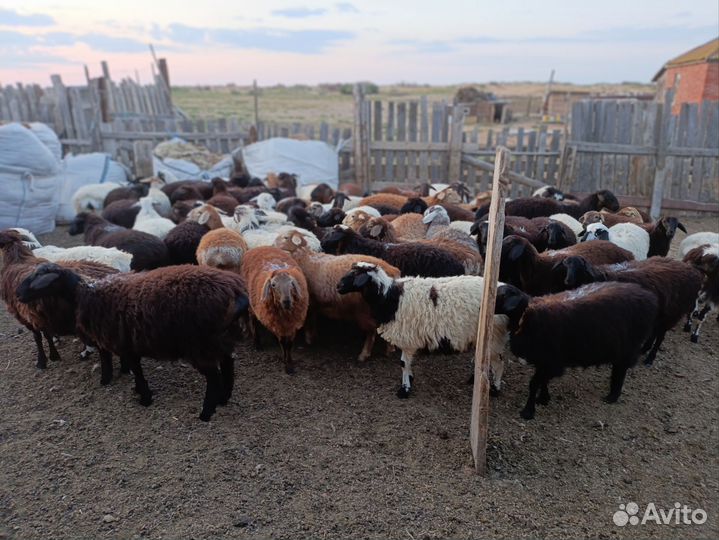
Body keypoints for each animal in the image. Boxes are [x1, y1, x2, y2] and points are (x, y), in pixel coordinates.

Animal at [17, 263, 249, 421]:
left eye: (38, 277)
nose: (18, 294)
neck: (83, 294)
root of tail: (236, 291)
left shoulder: (118, 341)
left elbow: (130, 368)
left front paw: (142, 397)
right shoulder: (126, 342)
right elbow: (132, 367)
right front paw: (135, 389)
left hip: (200, 344)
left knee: (214, 378)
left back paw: (206, 413)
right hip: (222, 338)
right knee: (228, 366)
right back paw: (224, 399)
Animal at [337, 262, 510, 397]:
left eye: (355, 274)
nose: (338, 287)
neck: (389, 298)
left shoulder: (406, 336)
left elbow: (403, 363)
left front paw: (405, 389)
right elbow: (406, 363)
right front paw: (409, 379)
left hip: (495, 334)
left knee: (499, 362)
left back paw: (495, 389)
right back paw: (475, 379)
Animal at [495, 282, 659, 419]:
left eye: (499, 295)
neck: (526, 317)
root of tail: (648, 297)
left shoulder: (551, 361)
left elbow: (534, 383)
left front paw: (528, 411)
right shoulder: (546, 361)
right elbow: (543, 381)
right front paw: (543, 399)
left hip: (628, 346)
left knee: (621, 370)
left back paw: (612, 396)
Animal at [550, 256, 703, 365]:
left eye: (580, 267)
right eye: (565, 265)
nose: (568, 280)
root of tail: (692, 270)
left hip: (671, 313)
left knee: (660, 336)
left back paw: (650, 358)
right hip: (660, 313)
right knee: (654, 331)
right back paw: (644, 348)